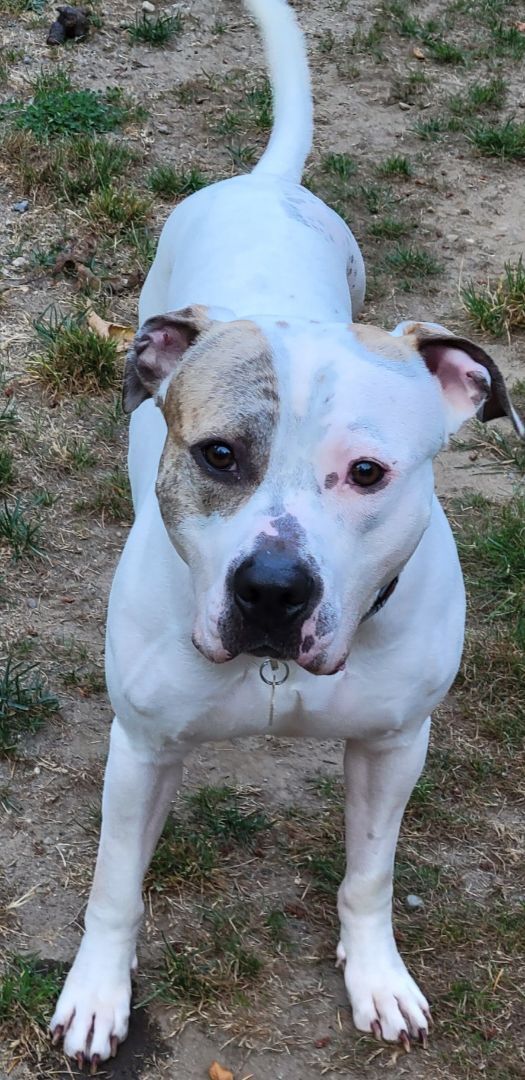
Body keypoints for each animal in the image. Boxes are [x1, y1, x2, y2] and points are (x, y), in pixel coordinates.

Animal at [48, 0, 520, 1067]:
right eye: (219, 455)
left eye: (368, 473)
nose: (271, 591)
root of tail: (265, 183)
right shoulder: (140, 749)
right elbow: (112, 889)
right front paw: (97, 996)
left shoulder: (394, 746)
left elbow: (369, 876)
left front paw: (376, 976)